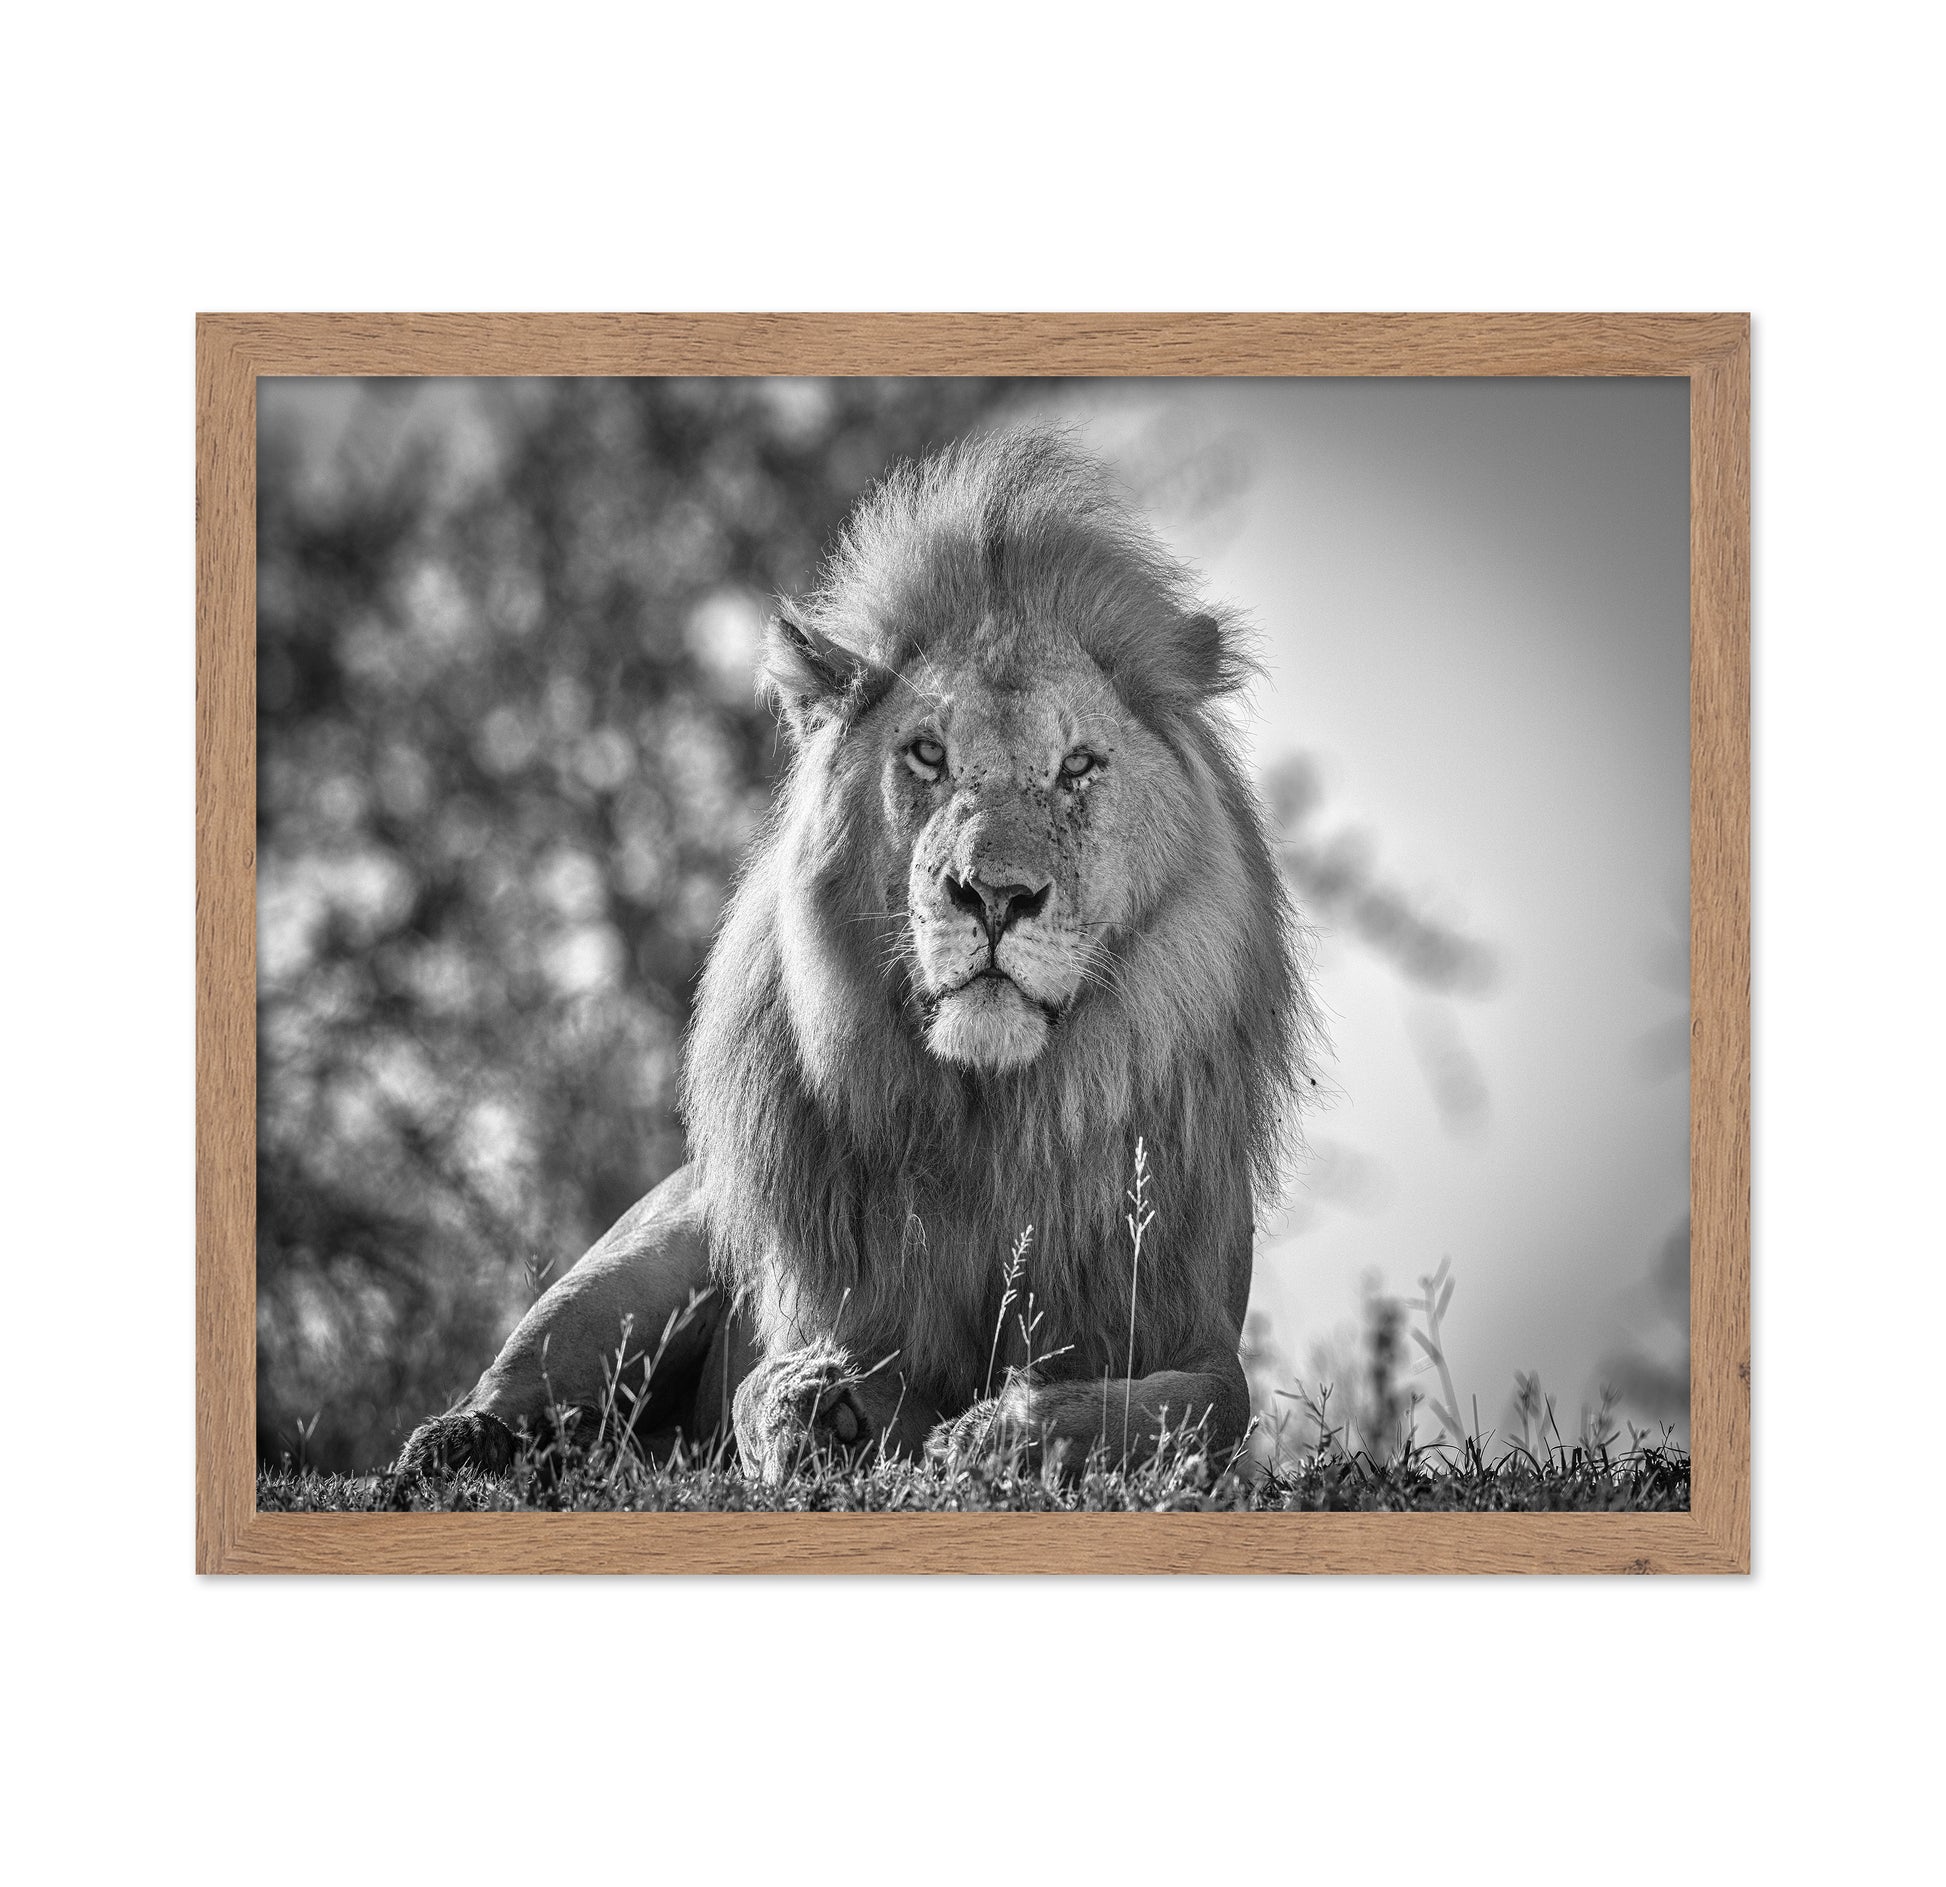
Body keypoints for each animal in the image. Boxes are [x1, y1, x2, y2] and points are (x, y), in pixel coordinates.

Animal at [396, 427, 1311, 1484]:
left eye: (1077, 765)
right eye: (927, 756)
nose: (995, 895)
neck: (997, 1118)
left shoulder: (1196, 1331)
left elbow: (1190, 1409)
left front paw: (1003, 1429)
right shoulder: (819, 1308)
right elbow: (765, 1385)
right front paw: (824, 1407)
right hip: (647, 1255)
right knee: (524, 1385)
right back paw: (456, 1445)